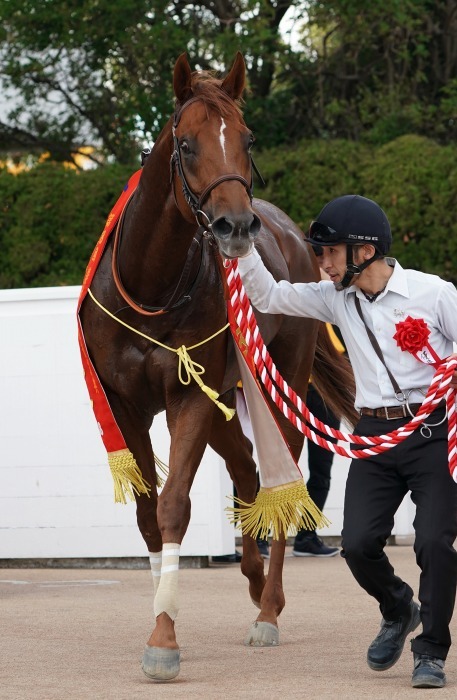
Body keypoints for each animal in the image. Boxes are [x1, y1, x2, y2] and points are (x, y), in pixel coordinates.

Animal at [80, 52, 354, 680]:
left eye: (246, 139)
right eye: (185, 144)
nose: (236, 226)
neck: (151, 287)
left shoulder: (188, 398)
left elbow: (175, 506)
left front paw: (163, 637)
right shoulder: (124, 402)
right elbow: (148, 514)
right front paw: (163, 614)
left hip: (278, 382)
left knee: (281, 482)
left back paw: (268, 609)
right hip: (227, 400)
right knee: (248, 475)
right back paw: (253, 581)